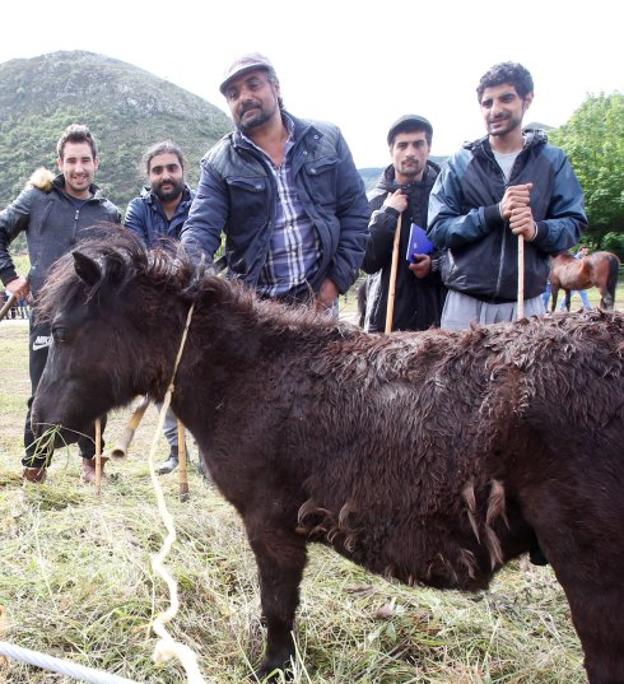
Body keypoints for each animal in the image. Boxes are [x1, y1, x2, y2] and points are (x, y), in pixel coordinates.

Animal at [30, 227, 624, 680]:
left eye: (60, 332)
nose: (35, 437)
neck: (251, 374)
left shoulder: (271, 525)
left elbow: (277, 608)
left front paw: (272, 668)